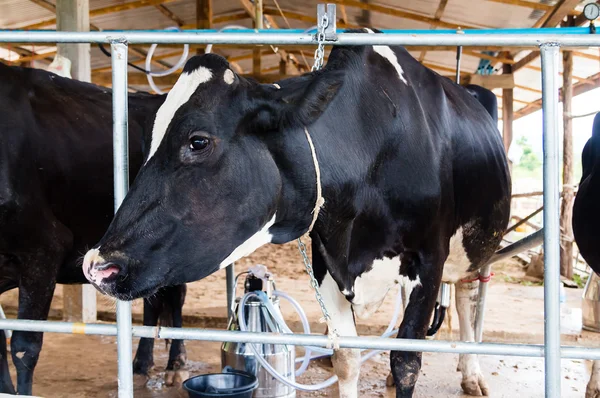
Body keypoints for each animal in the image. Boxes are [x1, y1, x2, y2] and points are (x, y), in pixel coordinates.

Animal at [0, 63, 186, 394]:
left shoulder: (44, 247)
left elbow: (24, 345)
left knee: (175, 297)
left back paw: (175, 365)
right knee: (153, 300)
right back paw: (140, 365)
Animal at [81, 28, 510, 398]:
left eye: (198, 141)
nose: (97, 265)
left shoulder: (430, 258)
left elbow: (406, 362)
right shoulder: (327, 259)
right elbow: (345, 358)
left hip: (477, 248)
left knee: (468, 299)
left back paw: (471, 374)